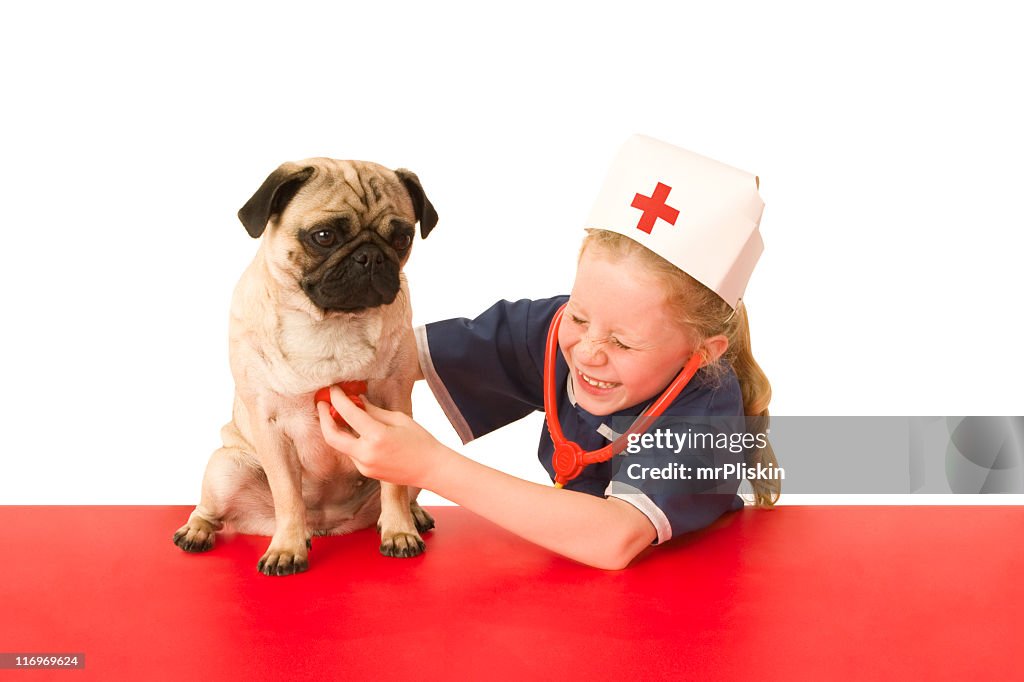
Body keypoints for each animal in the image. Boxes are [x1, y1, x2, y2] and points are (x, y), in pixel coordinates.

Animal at [173, 159, 436, 573]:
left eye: (402, 239)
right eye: (324, 236)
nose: (370, 256)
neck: (330, 323)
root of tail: (328, 525)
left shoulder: (395, 412)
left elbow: (393, 488)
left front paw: (399, 532)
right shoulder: (270, 426)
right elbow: (288, 495)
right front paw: (287, 547)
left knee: (402, 494)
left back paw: (412, 516)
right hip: (226, 467)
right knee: (210, 510)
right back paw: (196, 531)